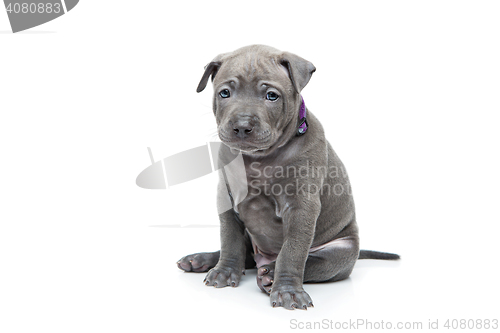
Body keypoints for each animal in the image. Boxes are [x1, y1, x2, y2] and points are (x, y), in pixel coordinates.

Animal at [178, 44, 400, 308]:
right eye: (225, 93)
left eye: (271, 96)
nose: (242, 125)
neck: (259, 159)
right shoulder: (227, 196)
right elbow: (229, 240)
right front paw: (224, 271)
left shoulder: (301, 207)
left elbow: (292, 252)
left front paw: (287, 291)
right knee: (245, 253)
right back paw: (200, 259)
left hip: (341, 252)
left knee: (312, 263)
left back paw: (269, 275)